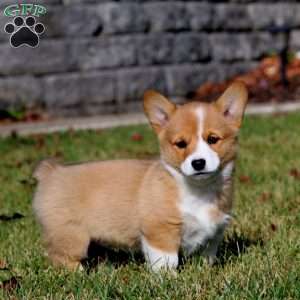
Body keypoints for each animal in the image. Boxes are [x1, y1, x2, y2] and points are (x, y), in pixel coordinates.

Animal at [32, 81, 248, 270]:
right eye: (181, 144)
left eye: (213, 139)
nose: (198, 163)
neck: (198, 190)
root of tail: (52, 171)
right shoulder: (160, 230)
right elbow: (166, 261)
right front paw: (168, 279)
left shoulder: (215, 233)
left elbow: (207, 255)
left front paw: (205, 270)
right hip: (71, 235)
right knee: (61, 257)